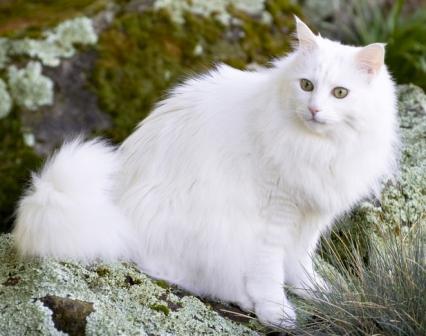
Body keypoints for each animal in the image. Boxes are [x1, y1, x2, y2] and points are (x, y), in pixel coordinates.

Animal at [12, 18, 400, 328]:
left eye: (340, 93)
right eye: (306, 85)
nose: (315, 109)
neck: (318, 147)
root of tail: (116, 211)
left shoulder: (309, 217)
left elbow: (300, 263)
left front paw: (317, 292)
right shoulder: (273, 217)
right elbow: (269, 272)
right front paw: (276, 312)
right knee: (190, 277)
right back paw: (247, 301)